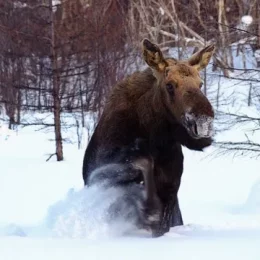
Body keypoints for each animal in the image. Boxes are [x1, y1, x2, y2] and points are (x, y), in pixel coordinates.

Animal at [82, 39, 214, 238]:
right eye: (169, 85)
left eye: (200, 83)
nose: (203, 120)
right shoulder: (102, 173)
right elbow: (142, 162)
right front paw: (149, 210)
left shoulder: (171, 187)